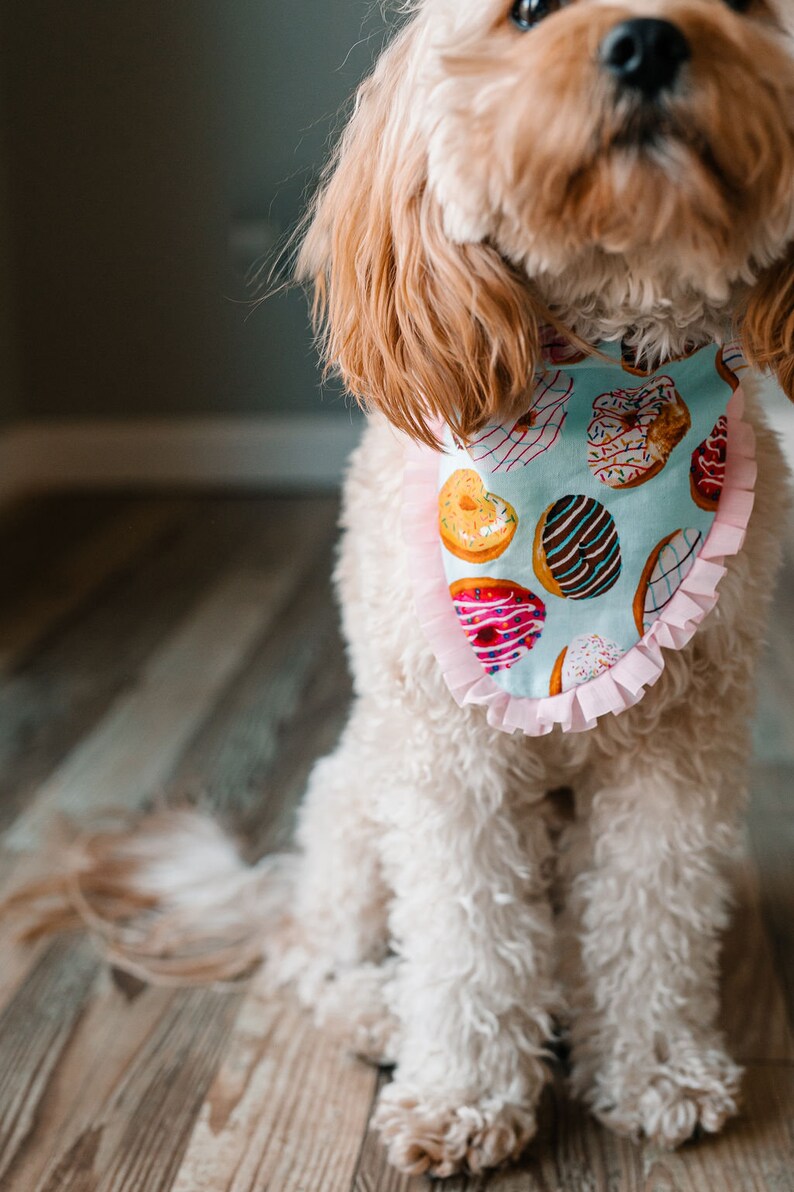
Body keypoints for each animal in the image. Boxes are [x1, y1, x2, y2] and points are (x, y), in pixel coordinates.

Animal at [13, 0, 791, 1177]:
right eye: (526, 13)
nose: (648, 42)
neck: (609, 367)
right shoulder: (449, 759)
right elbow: (466, 939)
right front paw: (464, 1098)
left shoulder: (679, 747)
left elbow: (650, 912)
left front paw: (658, 1069)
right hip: (354, 800)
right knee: (317, 955)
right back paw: (381, 1009)